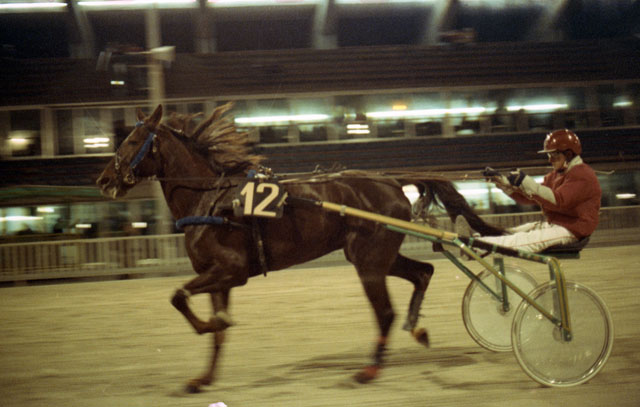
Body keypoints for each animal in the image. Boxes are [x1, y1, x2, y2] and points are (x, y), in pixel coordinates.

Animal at [96, 103, 504, 392]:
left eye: (131, 142)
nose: (103, 180)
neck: (210, 200)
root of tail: (389, 181)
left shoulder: (231, 271)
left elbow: (179, 296)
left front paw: (209, 325)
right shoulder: (217, 278)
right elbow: (215, 329)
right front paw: (204, 376)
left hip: (369, 261)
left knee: (386, 311)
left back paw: (369, 370)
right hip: (374, 255)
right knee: (422, 272)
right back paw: (416, 331)